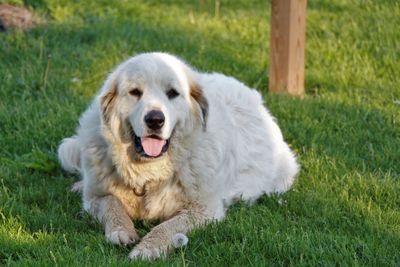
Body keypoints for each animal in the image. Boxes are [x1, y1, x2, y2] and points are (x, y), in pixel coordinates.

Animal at [57, 51, 298, 260]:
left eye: (172, 93)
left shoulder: (204, 210)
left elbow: (167, 226)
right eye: (135, 92)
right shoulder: (95, 197)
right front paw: (121, 230)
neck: (148, 172)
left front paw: (147, 248)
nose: (155, 119)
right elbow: (111, 203)